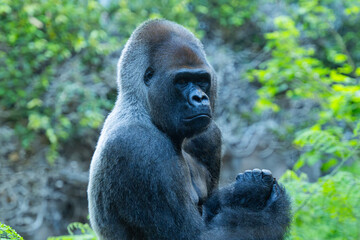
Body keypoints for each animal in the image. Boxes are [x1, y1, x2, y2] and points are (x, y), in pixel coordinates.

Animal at [88, 19, 292, 240]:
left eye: (202, 79)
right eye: (182, 81)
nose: (200, 98)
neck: (144, 108)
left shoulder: (209, 135)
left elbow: (214, 205)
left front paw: (244, 191)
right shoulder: (138, 146)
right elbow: (194, 235)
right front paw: (272, 201)